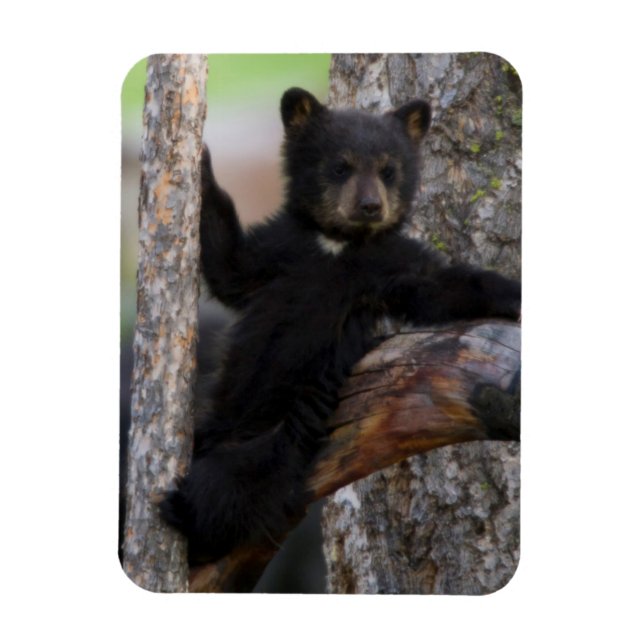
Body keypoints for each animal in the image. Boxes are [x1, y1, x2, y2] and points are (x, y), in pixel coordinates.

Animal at [160, 87, 521, 563]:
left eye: (388, 169)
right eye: (340, 166)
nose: (370, 206)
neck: (337, 245)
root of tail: (221, 433)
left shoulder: (388, 265)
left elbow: (440, 286)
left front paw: (514, 294)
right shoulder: (279, 250)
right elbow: (229, 266)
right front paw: (199, 162)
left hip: (277, 440)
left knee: (226, 489)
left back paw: (183, 512)